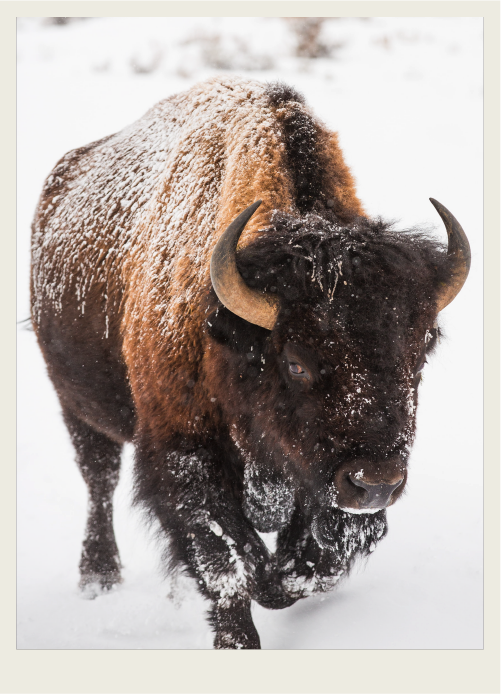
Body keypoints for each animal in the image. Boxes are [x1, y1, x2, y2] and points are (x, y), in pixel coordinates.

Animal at [31, 77, 470, 649]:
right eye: (297, 363)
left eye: (420, 351)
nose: (375, 483)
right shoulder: (184, 452)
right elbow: (229, 566)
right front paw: (239, 632)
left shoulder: (318, 484)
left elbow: (312, 563)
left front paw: (281, 578)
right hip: (78, 405)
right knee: (99, 479)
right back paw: (98, 577)